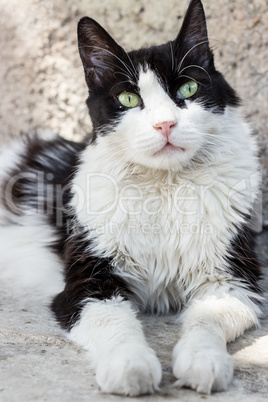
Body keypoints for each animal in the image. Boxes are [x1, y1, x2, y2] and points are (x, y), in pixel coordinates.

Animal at [0, 0, 264, 398]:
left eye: (188, 88)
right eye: (128, 99)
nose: (165, 124)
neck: (164, 189)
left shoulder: (232, 280)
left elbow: (206, 322)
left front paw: (203, 362)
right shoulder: (88, 284)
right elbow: (116, 324)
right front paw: (130, 367)